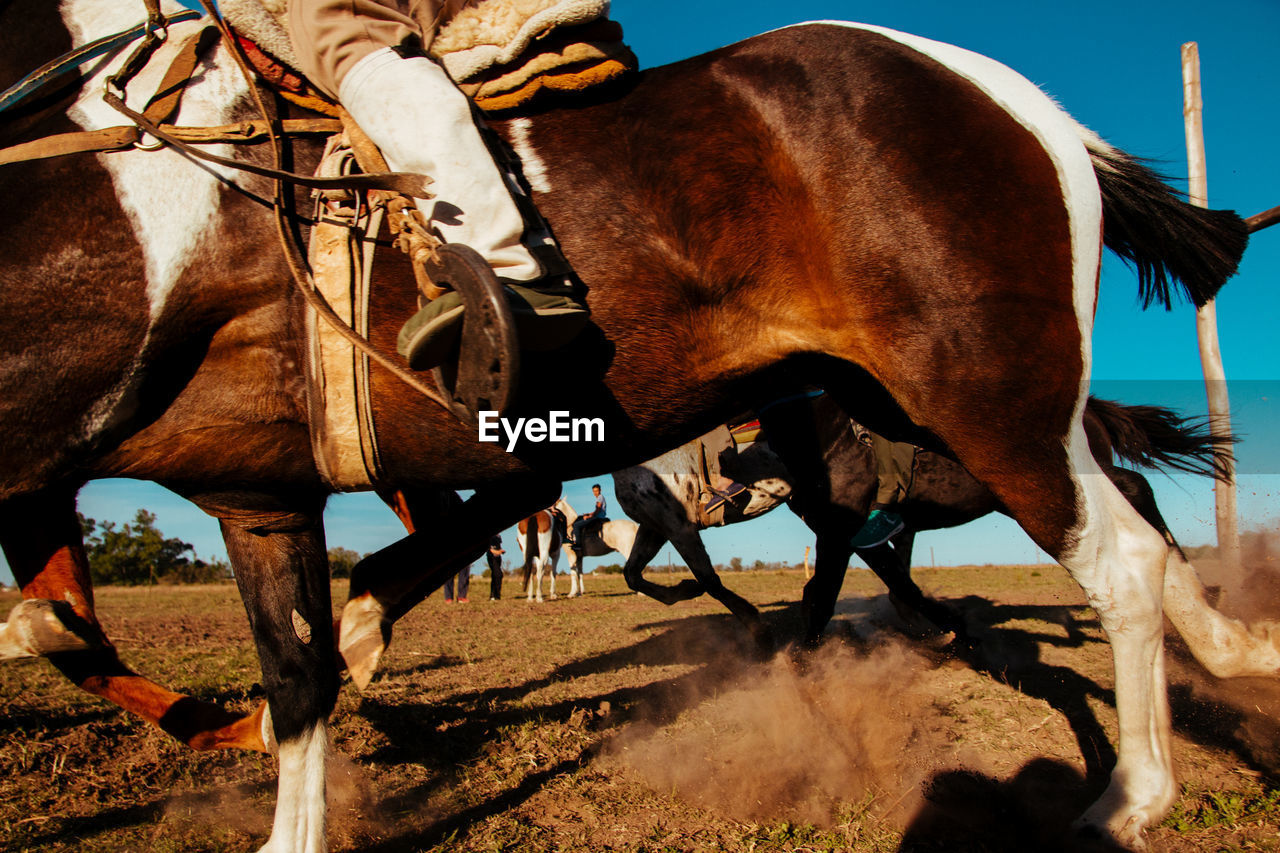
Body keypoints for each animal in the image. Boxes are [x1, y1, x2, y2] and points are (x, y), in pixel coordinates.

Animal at [0, 3, 1264, 845]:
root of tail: (1019, 104)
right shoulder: (258, 496)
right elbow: (287, 676)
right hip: (929, 398)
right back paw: (1238, 652)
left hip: (984, 392)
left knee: (1123, 556)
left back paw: (1129, 795)